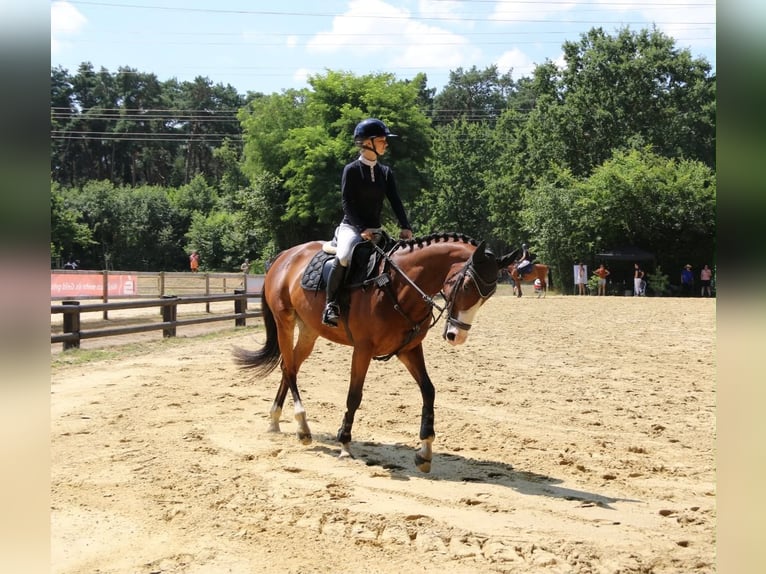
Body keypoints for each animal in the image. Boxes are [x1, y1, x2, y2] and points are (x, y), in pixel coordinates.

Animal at [233, 233, 518, 473]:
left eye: (489, 294)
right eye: (467, 285)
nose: (456, 336)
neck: (397, 286)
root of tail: (285, 256)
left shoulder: (409, 349)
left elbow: (429, 390)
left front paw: (425, 451)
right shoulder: (363, 349)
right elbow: (354, 396)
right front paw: (345, 443)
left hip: (309, 331)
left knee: (288, 366)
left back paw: (275, 420)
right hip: (285, 321)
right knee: (290, 369)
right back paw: (302, 427)